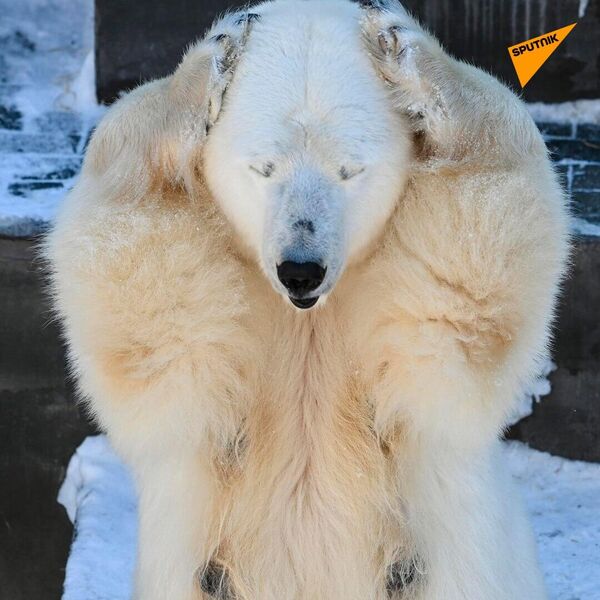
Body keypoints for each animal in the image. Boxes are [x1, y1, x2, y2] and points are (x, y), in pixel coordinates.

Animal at [45, 1, 568, 600]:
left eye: (350, 169)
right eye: (263, 167)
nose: (300, 269)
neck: (308, 316)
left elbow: (459, 314)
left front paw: (404, 48)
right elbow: (151, 337)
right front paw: (211, 63)